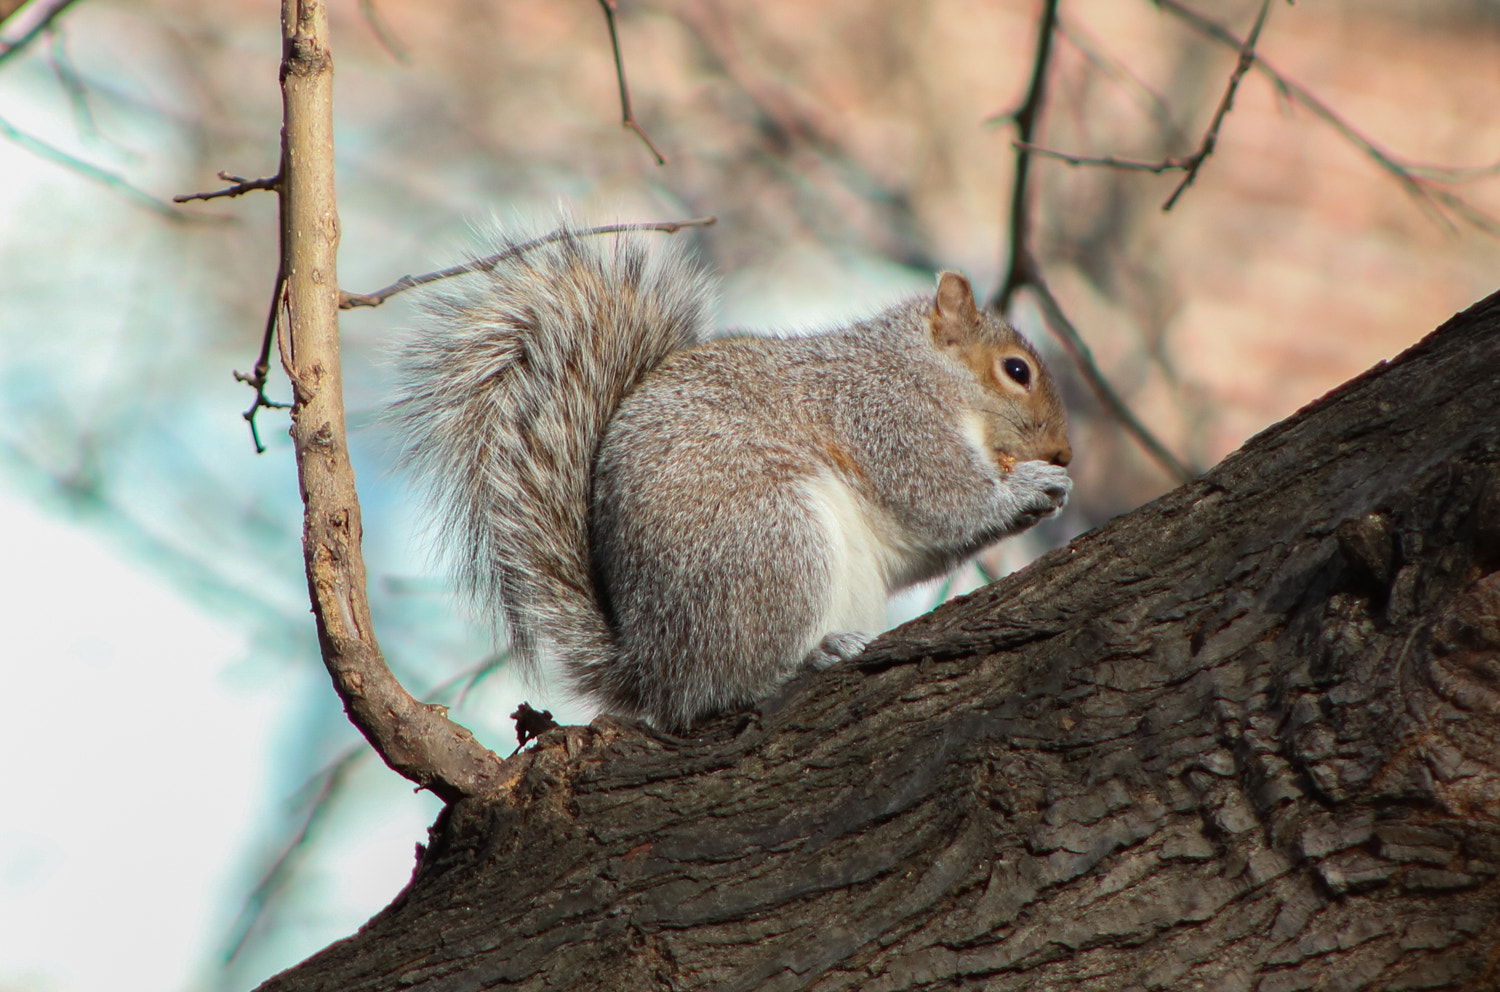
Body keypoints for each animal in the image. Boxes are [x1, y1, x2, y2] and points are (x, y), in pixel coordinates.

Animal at [391, 225, 1073, 731]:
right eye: (1016, 371)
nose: (1065, 453)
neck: (919, 368)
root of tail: (655, 666)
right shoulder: (886, 418)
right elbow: (945, 497)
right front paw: (1028, 487)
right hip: (775, 544)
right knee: (729, 687)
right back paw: (812, 657)